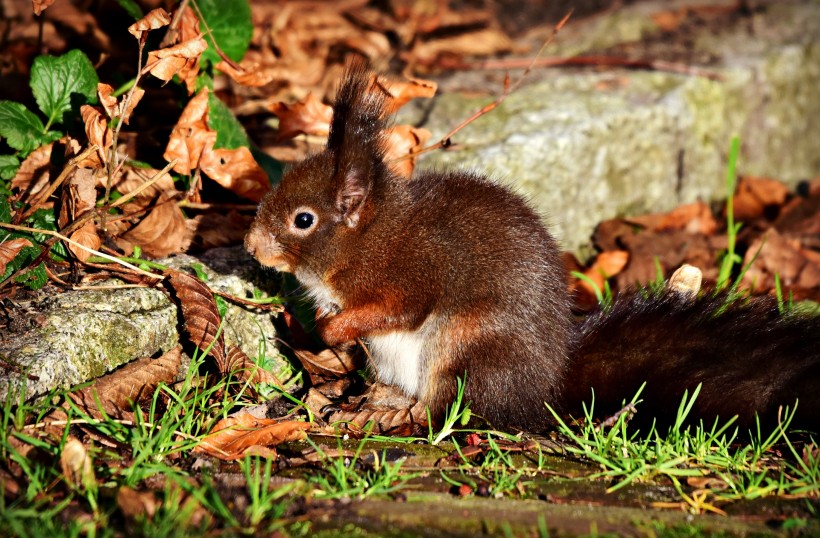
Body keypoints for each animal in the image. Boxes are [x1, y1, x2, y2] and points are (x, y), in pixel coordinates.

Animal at [245, 62, 820, 432]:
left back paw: (401, 414)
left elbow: (397, 310)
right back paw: (377, 400)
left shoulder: (411, 272)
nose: (251, 247)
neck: (365, 239)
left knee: (458, 410)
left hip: (467, 345)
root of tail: (545, 388)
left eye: (303, 220)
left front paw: (331, 329)